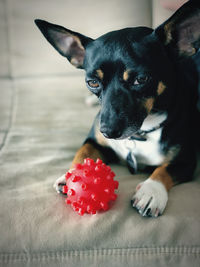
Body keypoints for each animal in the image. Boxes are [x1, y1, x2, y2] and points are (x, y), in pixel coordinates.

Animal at [34, 0, 200, 218]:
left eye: (141, 79)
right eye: (92, 82)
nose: (109, 131)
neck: (141, 133)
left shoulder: (186, 161)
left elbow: (163, 170)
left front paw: (151, 191)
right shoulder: (93, 140)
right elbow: (83, 152)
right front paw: (71, 175)